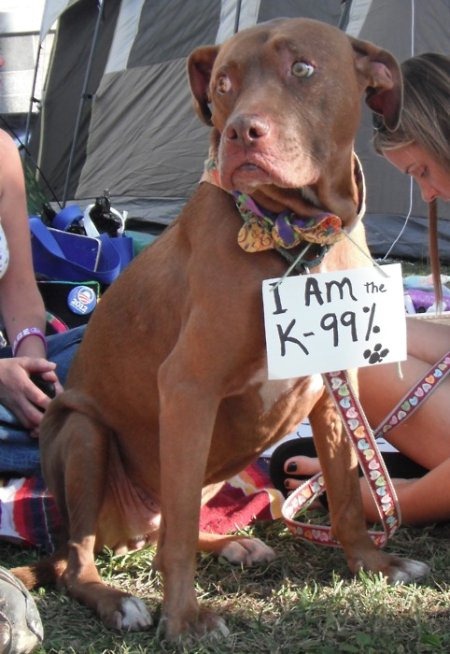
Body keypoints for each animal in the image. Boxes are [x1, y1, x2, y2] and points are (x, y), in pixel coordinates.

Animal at [14, 18, 428, 644]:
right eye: (224, 84)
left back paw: (234, 543)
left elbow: (346, 492)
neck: (295, 237)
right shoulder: (189, 389)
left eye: (302, 68)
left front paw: (372, 562)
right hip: (84, 434)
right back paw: (118, 600)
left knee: (164, 529)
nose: (239, 133)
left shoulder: (337, 394)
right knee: (82, 561)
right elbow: (181, 535)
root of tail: (124, 533)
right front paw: (183, 618)